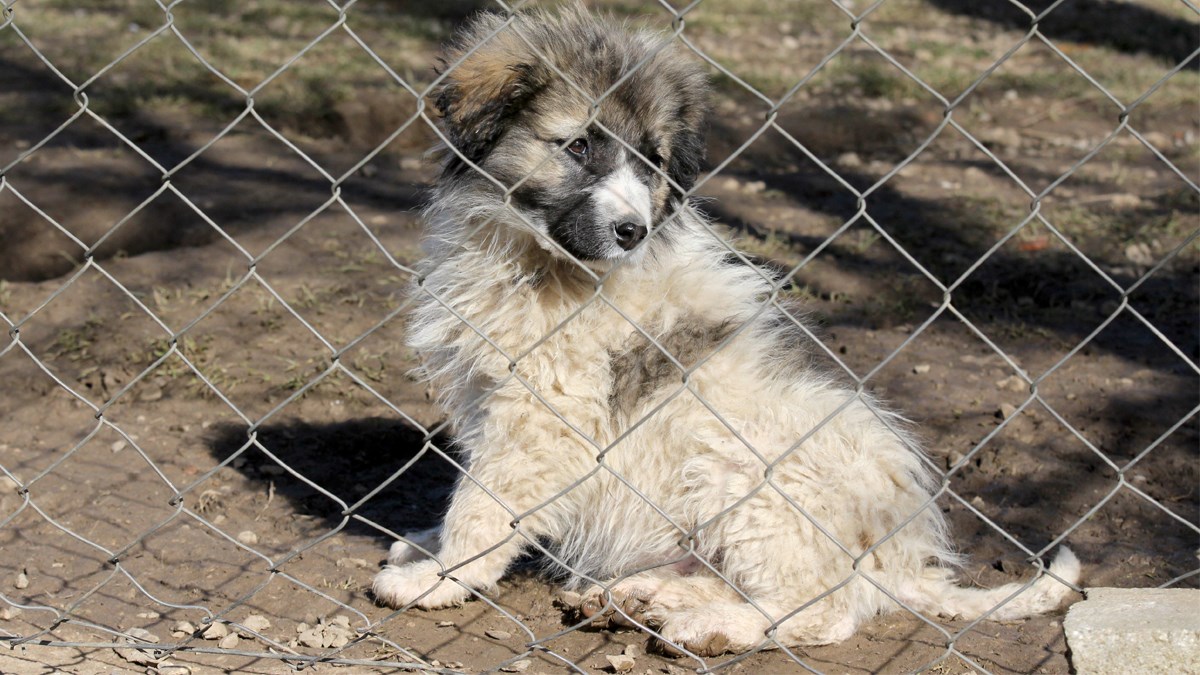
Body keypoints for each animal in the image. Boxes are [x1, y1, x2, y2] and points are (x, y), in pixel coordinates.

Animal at [372, 5, 1080, 653]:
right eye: (579, 146)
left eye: (652, 162)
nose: (633, 232)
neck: (535, 260)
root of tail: (899, 559)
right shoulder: (494, 394)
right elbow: (473, 485)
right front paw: (429, 549)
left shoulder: (543, 415)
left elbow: (485, 505)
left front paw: (441, 575)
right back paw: (645, 595)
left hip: (743, 470)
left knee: (824, 608)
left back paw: (715, 626)